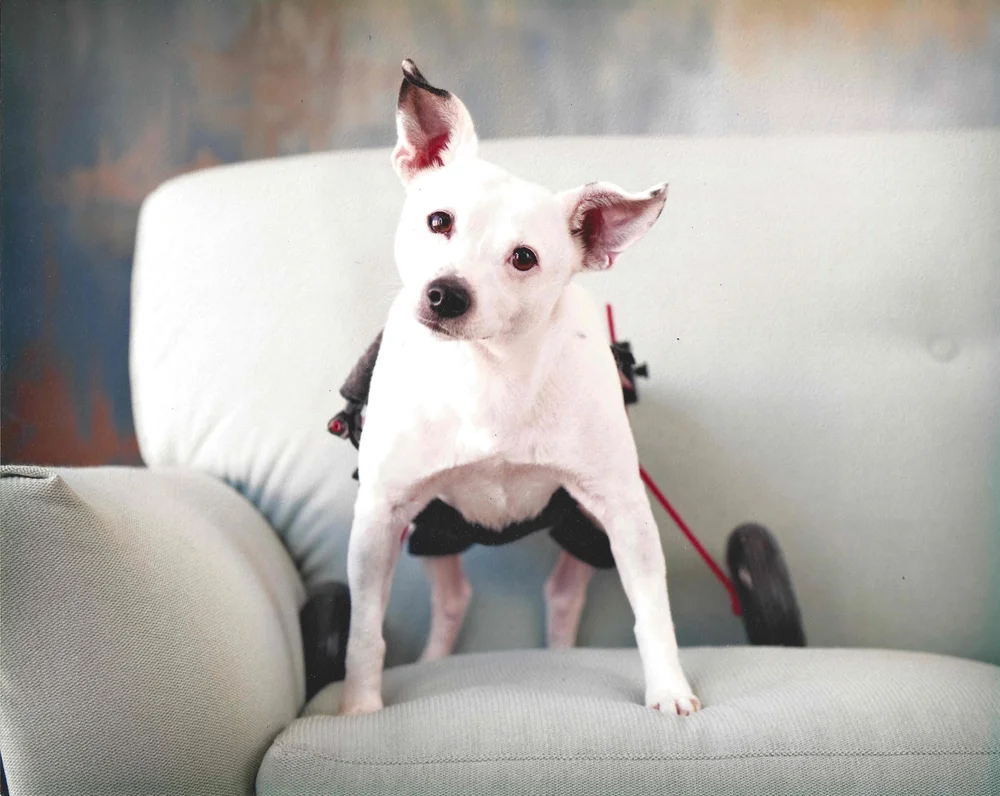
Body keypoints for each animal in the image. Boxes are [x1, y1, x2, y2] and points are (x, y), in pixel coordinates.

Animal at [338, 59, 700, 717]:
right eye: (439, 221)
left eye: (524, 258)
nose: (447, 293)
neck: (489, 369)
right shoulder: (379, 516)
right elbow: (364, 629)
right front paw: (359, 704)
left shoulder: (623, 511)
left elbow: (653, 614)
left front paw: (669, 689)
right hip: (431, 526)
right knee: (452, 598)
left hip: (583, 525)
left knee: (561, 594)